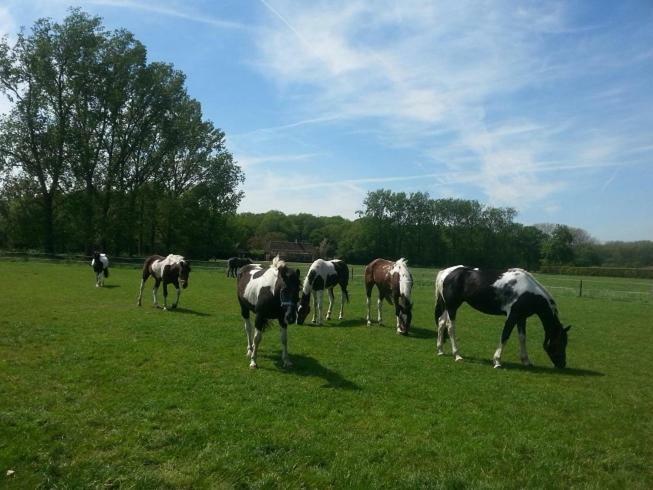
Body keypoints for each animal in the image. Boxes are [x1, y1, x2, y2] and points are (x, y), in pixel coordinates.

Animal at [432, 266, 572, 370]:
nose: (562, 364)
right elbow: (505, 336)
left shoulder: (521, 318)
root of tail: (446, 272)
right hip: (452, 306)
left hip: (447, 306)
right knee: (450, 327)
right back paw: (457, 355)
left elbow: (522, 338)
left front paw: (526, 361)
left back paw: (440, 350)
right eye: (560, 342)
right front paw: (497, 361)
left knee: (441, 323)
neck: (529, 293)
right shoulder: (512, 316)